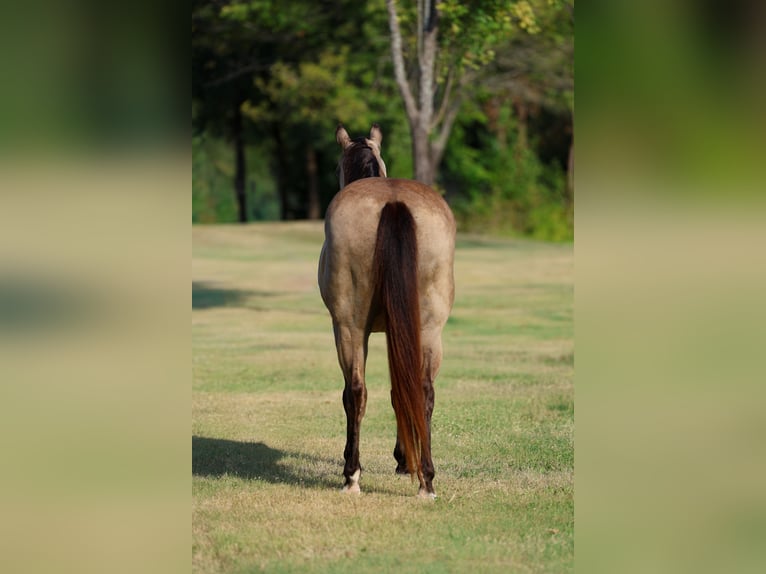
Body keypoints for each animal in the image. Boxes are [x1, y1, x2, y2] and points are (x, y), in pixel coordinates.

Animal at [318, 124, 455, 499]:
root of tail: (393, 202)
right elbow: (400, 391)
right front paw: (406, 460)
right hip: (429, 330)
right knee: (423, 390)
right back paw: (426, 479)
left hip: (348, 328)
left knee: (355, 391)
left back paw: (352, 475)